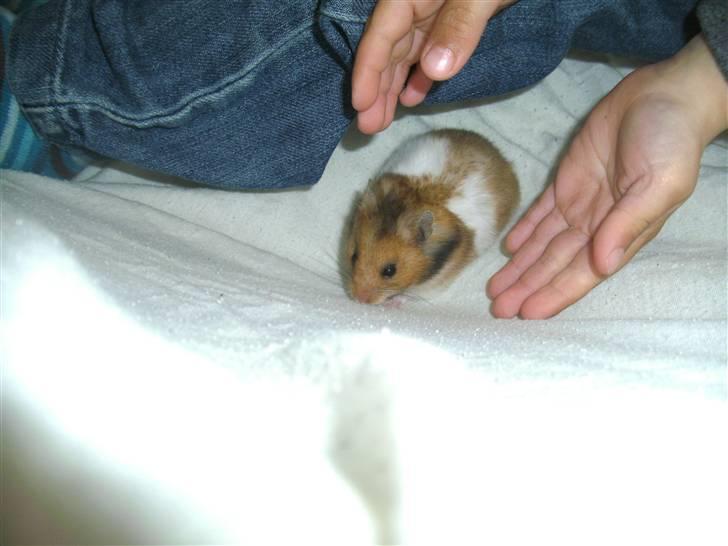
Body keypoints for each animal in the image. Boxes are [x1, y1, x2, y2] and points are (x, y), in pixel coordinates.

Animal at [344, 129, 519, 305]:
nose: (359, 299)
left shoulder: (434, 284)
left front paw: (392, 303)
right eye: (354, 256)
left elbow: (408, 296)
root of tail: (498, 153)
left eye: (390, 270)